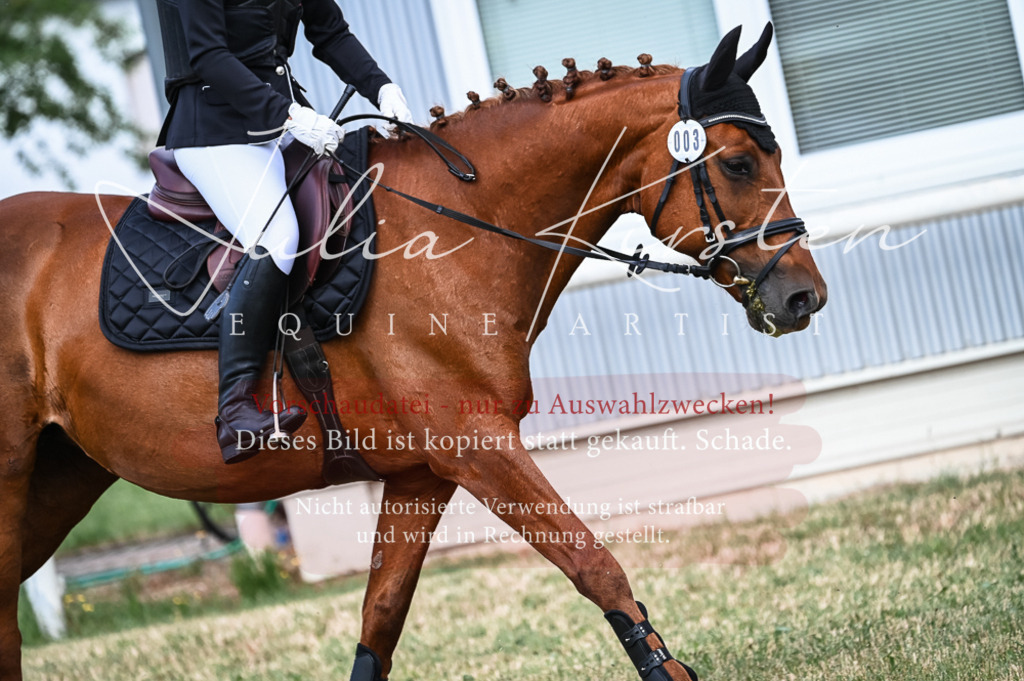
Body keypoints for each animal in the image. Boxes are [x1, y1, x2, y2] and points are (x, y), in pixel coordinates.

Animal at [0, 25, 825, 681]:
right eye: (738, 164)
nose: (804, 298)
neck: (461, 225)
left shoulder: (421, 472)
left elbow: (382, 619)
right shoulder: (477, 444)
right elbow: (594, 562)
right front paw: (666, 667)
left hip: (62, 475)